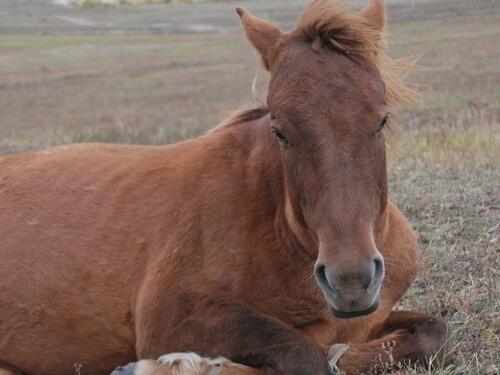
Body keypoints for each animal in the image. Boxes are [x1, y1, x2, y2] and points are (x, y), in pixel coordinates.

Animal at [0, 0, 446, 375]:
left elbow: (431, 335)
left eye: (382, 120)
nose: (350, 280)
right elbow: (307, 356)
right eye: (280, 132)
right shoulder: (172, 318)